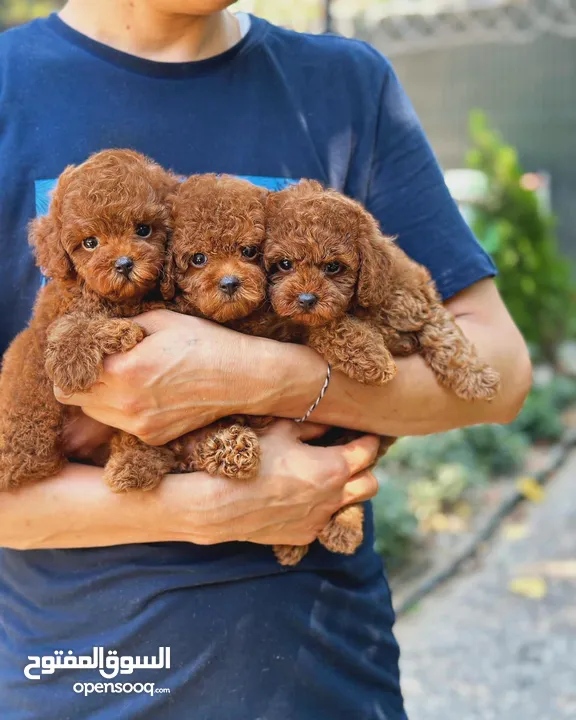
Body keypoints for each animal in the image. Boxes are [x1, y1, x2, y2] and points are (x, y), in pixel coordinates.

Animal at [0, 149, 177, 492]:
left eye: (144, 230)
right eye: (90, 243)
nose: (124, 264)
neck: (120, 300)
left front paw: (139, 460)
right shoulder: (48, 318)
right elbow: (64, 330)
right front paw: (74, 361)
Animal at [254, 179, 502, 564]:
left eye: (334, 267)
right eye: (283, 264)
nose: (306, 300)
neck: (361, 307)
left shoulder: (416, 302)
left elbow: (446, 334)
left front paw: (476, 379)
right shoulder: (289, 323)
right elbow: (327, 326)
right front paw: (371, 356)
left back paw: (339, 529)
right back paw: (296, 541)